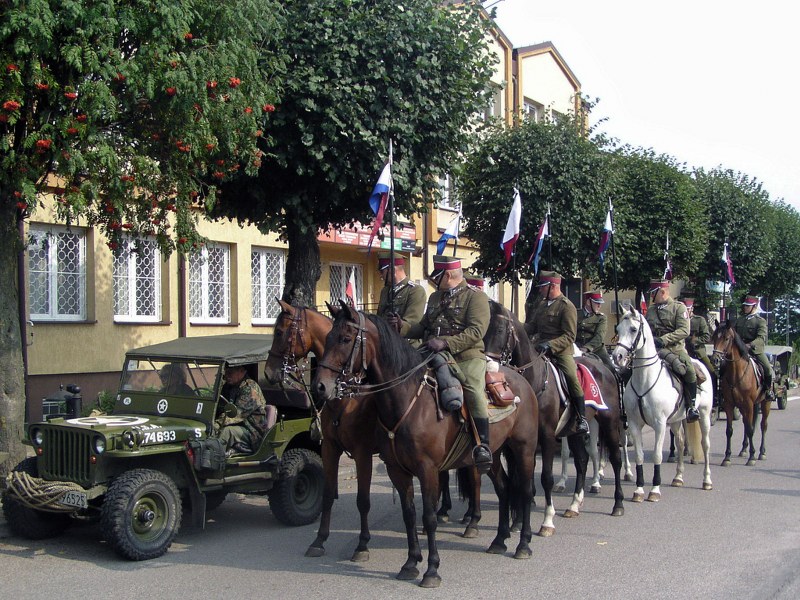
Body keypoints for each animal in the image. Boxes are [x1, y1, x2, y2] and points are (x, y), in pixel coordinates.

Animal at [313, 302, 539, 588]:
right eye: (328, 337)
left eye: (344, 338)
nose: (320, 386)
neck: (407, 399)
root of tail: (520, 380)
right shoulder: (396, 470)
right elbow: (409, 514)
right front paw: (410, 563)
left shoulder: (426, 469)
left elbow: (428, 518)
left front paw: (431, 569)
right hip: (493, 455)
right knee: (504, 488)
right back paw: (499, 540)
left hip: (524, 449)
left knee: (526, 491)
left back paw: (523, 544)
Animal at [484, 301, 625, 519]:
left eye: (499, 330)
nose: (488, 364)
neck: (535, 380)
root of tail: (606, 368)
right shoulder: (530, 437)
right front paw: (528, 504)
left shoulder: (547, 435)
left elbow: (547, 476)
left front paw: (547, 516)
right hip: (574, 430)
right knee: (582, 460)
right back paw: (574, 504)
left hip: (609, 422)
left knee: (616, 460)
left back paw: (618, 504)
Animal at [611, 305, 713, 502]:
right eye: (617, 329)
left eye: (633, 329)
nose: (617, 356)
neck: (645, 380)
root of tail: (699, 363)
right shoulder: (634, 424)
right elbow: (640, 456)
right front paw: (639, 490)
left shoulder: (659, 425)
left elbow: (657, 456)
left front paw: (654, 490)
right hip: (675, 421)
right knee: (680, 443)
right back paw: (678, 477)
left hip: (703, 415)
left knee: (705, 444)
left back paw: (707, 481)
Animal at [710, 320, 772, 466]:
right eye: (714, 337)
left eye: (726, 338)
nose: (715, 359)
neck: (737, 372)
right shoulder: (729, 404)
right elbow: (730, 430)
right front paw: (727, 457)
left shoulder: (748, 404)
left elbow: (750, 429)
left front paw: (752, 457)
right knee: (746, 423)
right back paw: (744, 449)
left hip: (765, 403)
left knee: (763, 425)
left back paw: (761, 452)